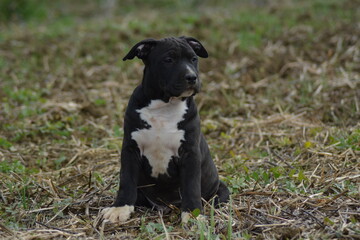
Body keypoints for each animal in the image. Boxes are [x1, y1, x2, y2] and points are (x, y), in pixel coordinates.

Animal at [100, 36, 231, 224]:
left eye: (194, 59)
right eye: (168, 60)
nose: (192, 77)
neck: (164, 106)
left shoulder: (190, 153)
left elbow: (191, 186)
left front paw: (193, 214)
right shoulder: (130, 149)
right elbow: (126, 180)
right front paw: (120, 208)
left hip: (220, 192)